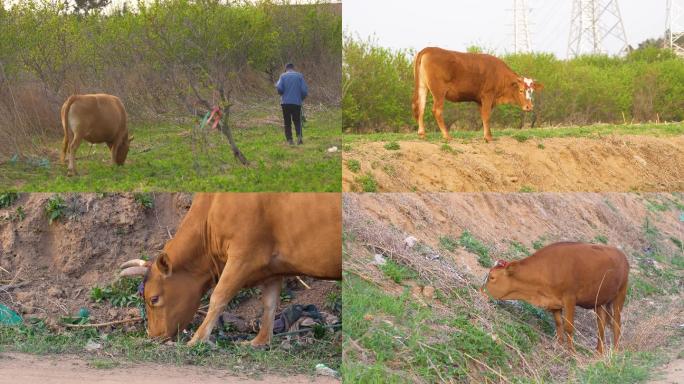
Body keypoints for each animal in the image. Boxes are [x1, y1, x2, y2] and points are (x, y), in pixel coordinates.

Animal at [120, 194, 342, 346]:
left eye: (153, 299)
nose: (153, 336)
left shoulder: (243, 256)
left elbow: (218, 297)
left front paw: (197, 339)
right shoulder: (272, 269)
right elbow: (269, 303)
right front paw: (259, 341)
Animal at [412, 47, 544, 142]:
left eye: (532, 91)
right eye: (521, 90)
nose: (529, 107)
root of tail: (428, 49)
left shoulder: (481, 100)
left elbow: (483, 116)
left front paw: (488, 135)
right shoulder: (488, 95)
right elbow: (486, 115)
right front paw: (488, 137)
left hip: (423, 87)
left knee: (421, 107)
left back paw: (422, 133)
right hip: (439, 91)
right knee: (437, 110)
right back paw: (447, 136)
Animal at [480, 243, 632, 354]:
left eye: (492, 277)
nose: (481, 291)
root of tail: (621, 254)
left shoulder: (570, 298)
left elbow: (569, 326)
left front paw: (572, 352)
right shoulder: (554, 301)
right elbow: (559, 324)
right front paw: (558, 344)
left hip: (620, 295)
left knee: (616, 324)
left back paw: (615, 352)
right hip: (599, 301)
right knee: (601, 324)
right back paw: (599, 352)